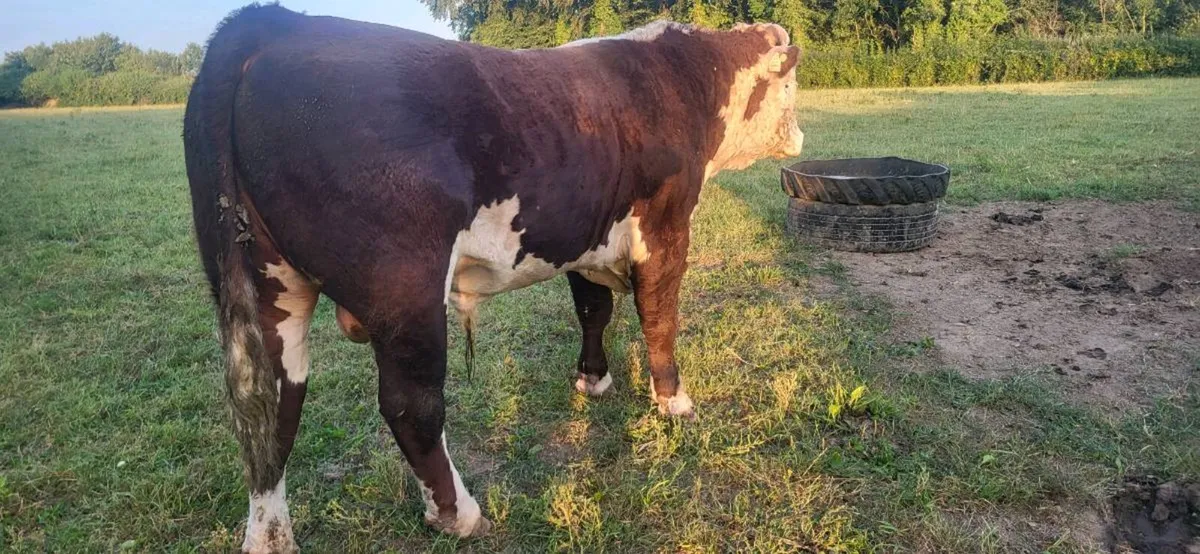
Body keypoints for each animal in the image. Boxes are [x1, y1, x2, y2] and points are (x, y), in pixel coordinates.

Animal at [183, 4, 803, 552]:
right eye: (792, 84)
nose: (800, 136)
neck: (685, 79)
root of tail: (274, 23)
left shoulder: (585, 236)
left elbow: (593, 311)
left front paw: (593, 380)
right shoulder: (665, 227)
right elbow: (659, 319)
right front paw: (673, 402)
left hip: (268, 284)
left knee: (272, 410)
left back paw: (269, 536)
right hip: (406, 287)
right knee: (411, 405)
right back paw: (458, 515)